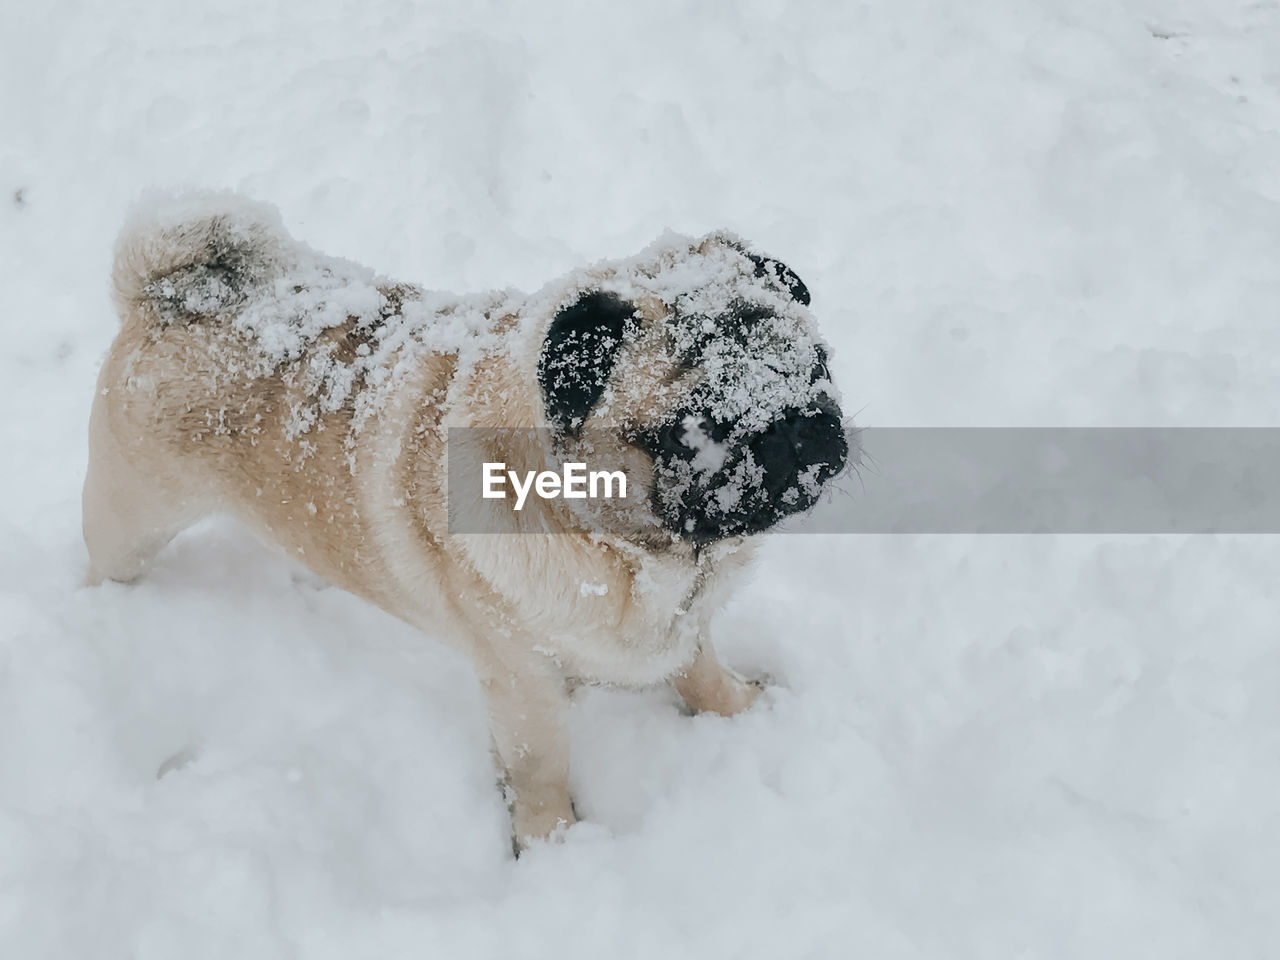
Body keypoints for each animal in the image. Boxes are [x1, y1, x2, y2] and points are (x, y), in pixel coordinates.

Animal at [87, 192, 849, 855]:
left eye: (818, 364)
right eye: (695, 431)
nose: (799, 429)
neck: (630, 551)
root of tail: (169, 295)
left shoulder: (685, 629)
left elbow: (701, 671)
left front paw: (741, 711)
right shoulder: (523, 685)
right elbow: (540, 770)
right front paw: (553, 848)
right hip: (130, 522)